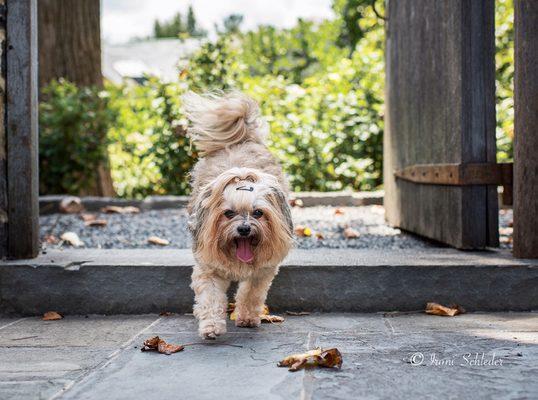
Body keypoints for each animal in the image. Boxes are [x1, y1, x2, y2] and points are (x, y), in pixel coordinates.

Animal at [184, 92, 294, 340]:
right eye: (228, 213)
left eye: (258, 213)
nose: (244, 228)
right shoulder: (209, 269)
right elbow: (211, 298)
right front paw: (211, 326)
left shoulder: (262, 271)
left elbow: (251, 293)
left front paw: (247, 318)